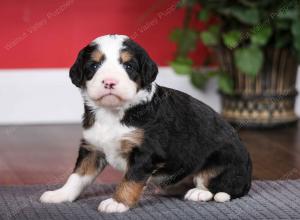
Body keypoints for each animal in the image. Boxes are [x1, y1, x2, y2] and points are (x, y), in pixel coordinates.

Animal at [39, 34, 251, 213]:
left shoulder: (145, 153)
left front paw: (117, 203)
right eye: (94, 66)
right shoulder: (91, 149)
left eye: (128, 67)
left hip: (222, 161)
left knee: (222, 187)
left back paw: (199, 192)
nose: (109, 82)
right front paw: (60, 194)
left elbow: (130, 179)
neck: (113, 113)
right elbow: (77, 176)